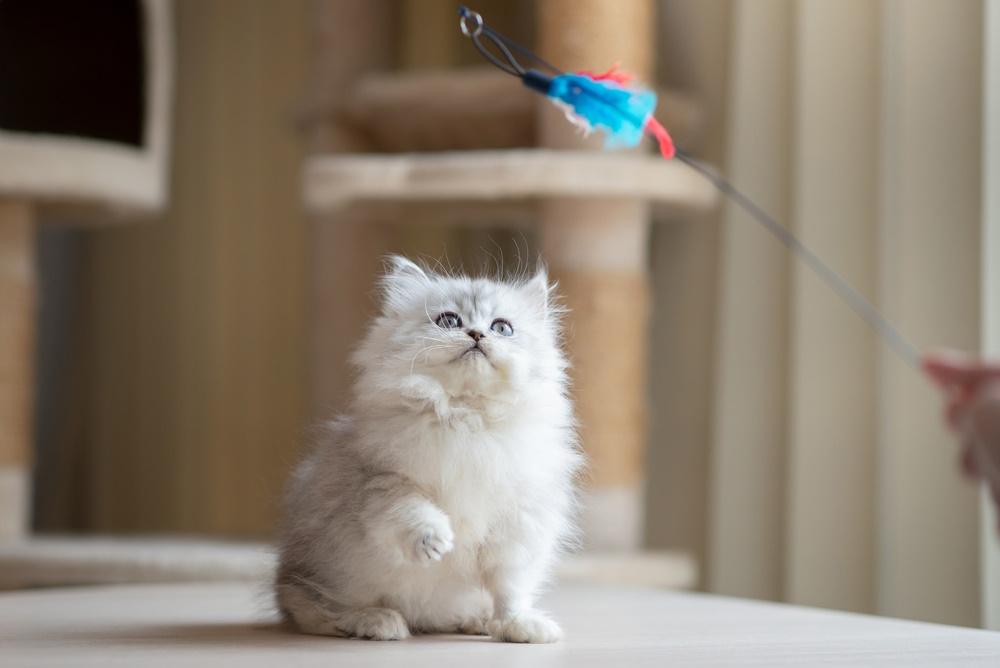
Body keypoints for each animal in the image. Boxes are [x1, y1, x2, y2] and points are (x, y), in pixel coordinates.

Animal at [278, 256, 584, 640]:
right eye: (450, 321)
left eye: (502, 328)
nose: (477, 334)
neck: (467, 416)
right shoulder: (383, 484)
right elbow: (414, 513)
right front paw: (434, 542)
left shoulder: (518, 530)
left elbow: (509, 590)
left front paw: (518, 626)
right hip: (329, 572)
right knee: (318, 609)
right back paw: (378, 621)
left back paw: (476, 620)